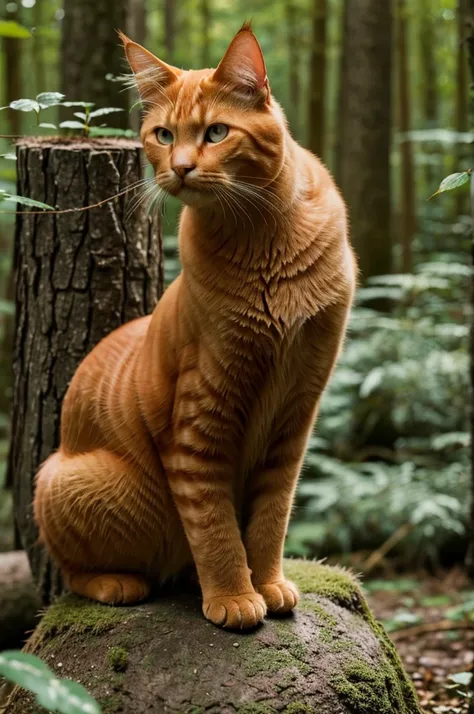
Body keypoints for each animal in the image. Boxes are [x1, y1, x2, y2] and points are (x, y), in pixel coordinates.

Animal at [34, 25, 356, 628]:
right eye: (163, 135)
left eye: (216, 132)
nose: (180, 166)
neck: (263, 241)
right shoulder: (199, 416)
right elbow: (214, 525)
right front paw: (233, 595)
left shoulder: (296, 415)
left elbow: (270, 518)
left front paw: (267, 582)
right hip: (66, 481)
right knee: (70, 573)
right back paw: (119, 583)